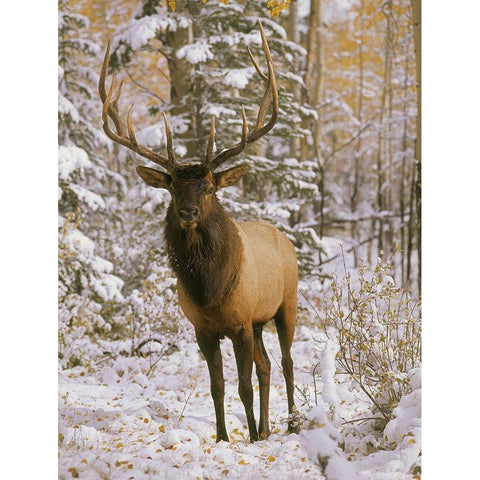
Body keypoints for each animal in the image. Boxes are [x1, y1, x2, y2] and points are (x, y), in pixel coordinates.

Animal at [100, 21, 298, 442]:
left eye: (207, 187)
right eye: (173, 187)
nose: (188, 212)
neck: (209, 290)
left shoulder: (240, 323)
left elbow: (242, 385)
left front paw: (248, 437)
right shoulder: (203, 330)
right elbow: (217, 386)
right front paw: (225, 437)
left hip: (286, 302)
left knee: (287, 361)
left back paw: (292, 423)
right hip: (260, 320)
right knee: (268, 365)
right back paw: (268, 428)